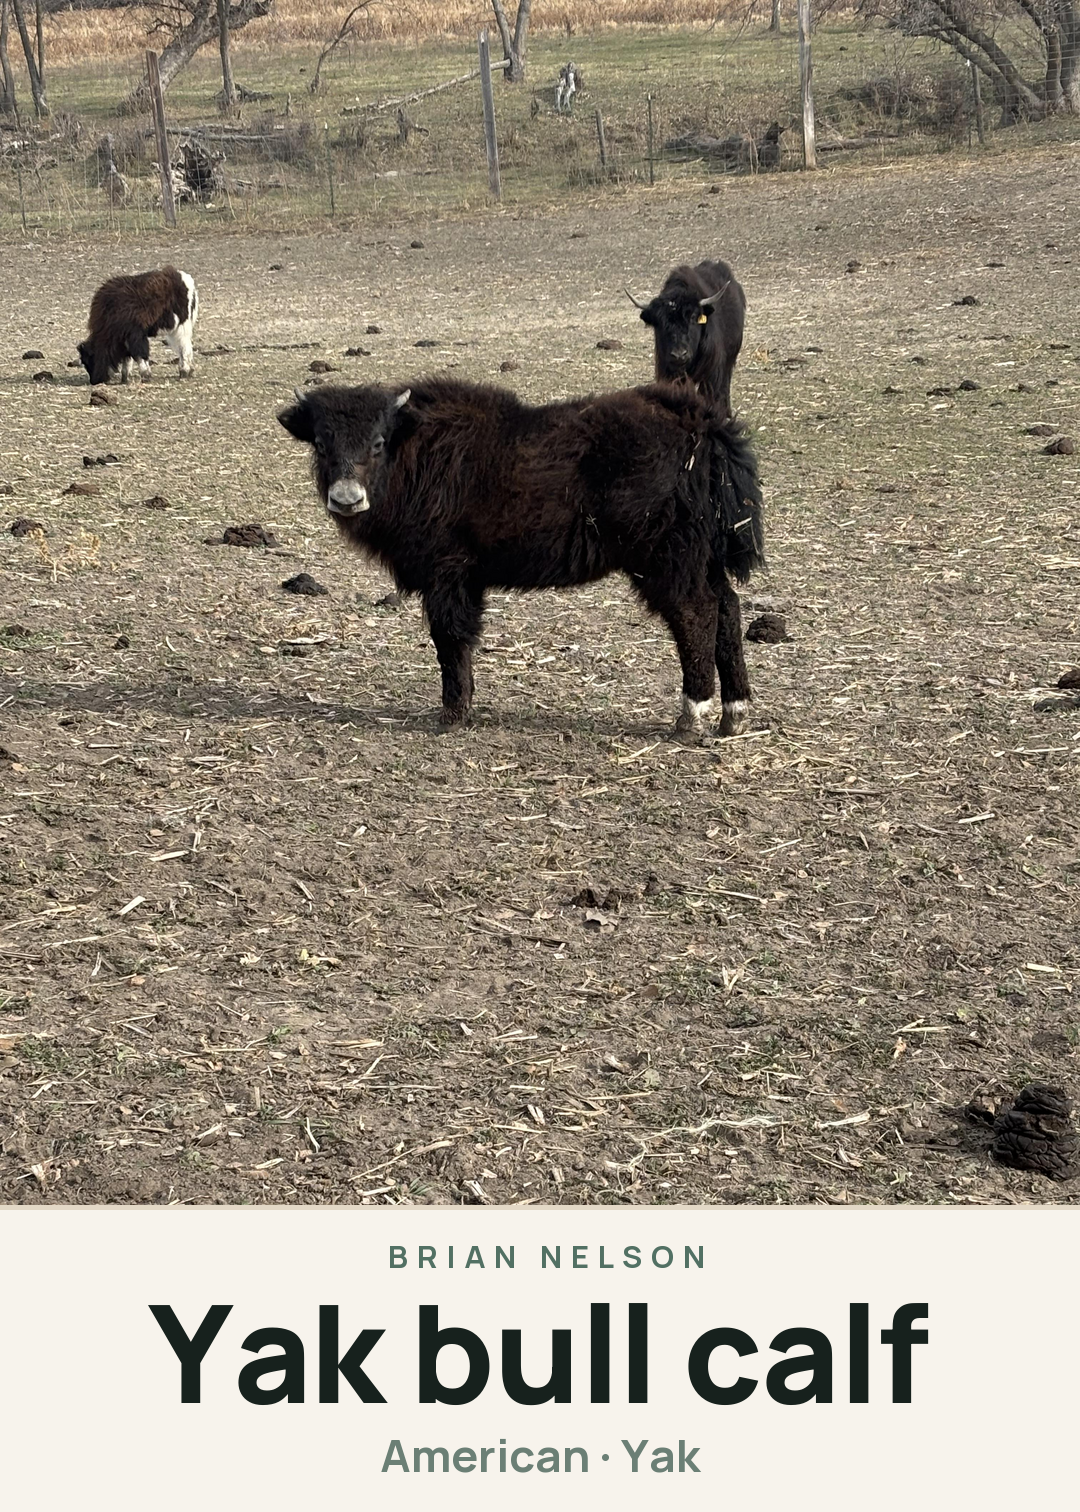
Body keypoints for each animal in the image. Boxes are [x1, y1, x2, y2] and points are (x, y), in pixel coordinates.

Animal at [278, 377, 764, 736]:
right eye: (320, 443)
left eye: (378, 442)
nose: (346, 498)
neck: (412, 450)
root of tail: (699, 422)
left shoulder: (447, 575)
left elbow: (449, 638)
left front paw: (452, 715)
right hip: (703, 559)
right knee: (727, 609)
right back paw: (734, 714)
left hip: (667, 561)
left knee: (696, 615)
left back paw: (690, 718)